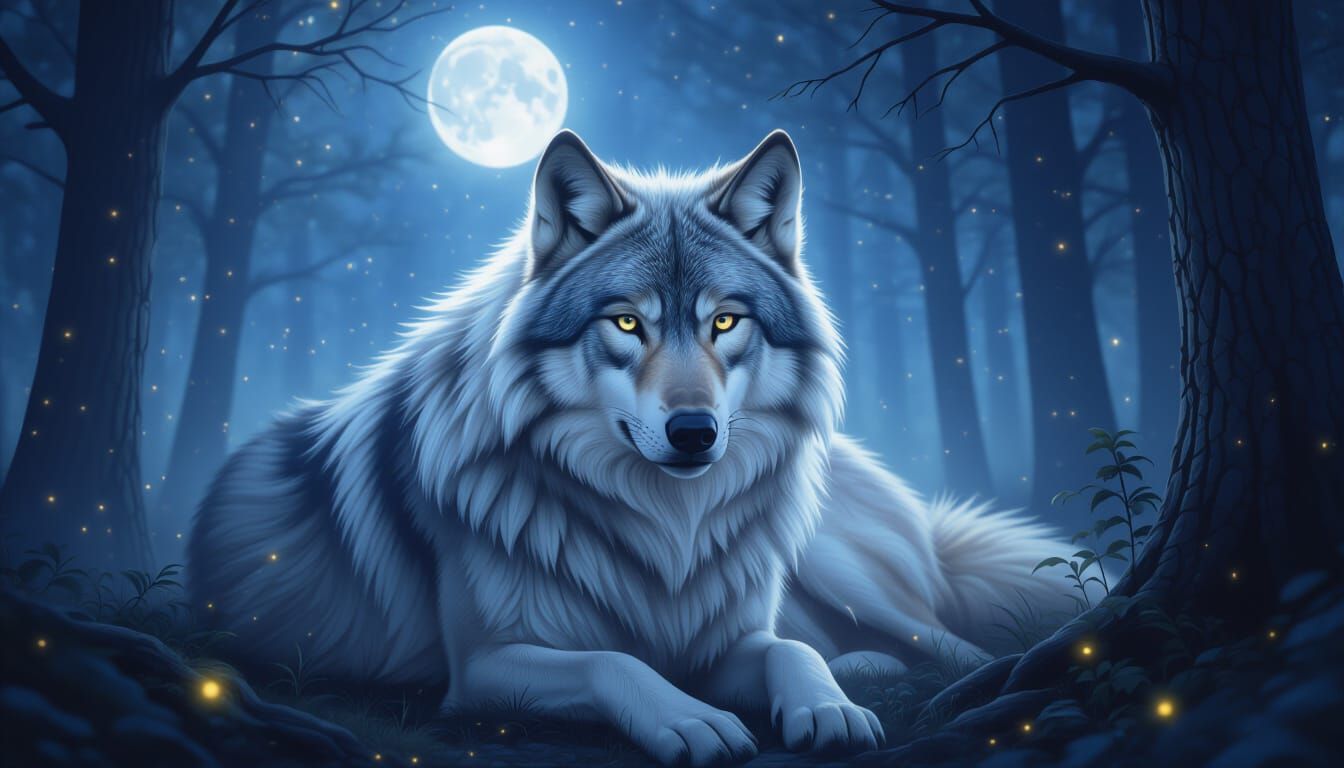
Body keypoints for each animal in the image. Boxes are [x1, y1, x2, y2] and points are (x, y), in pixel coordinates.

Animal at [190, 130, 1070, 766]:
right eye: (626, 322)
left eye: (724, 321)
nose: (694, 432)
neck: (662, 530)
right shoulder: (482, 668)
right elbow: (611, 662)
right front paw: (694, 722)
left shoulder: (726, 640)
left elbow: (790, 649)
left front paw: (827, 708)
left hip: (841, 569)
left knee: (950, 643)